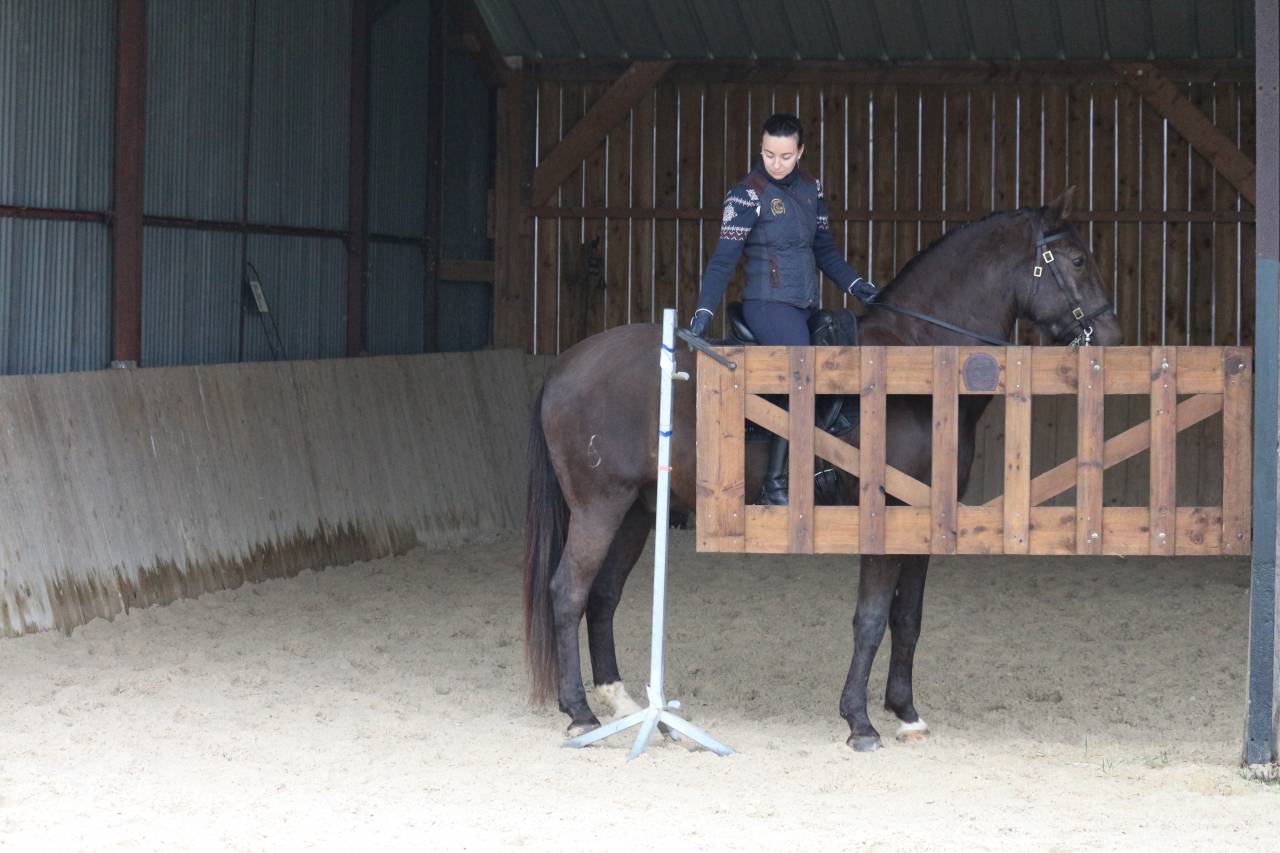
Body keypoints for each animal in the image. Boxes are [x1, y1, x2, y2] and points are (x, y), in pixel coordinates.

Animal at [523, 187, 1123, 750]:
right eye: (1076, 260)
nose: (1112, 341)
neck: (914, 365)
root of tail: (568, 364)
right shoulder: (883, 516)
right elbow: (871, 619)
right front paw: (859, 721)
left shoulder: (923, 520)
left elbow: (908, 618)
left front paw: (905, 712)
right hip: (600, 507)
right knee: (568, 593)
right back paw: (581, 713)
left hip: (636, 511)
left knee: (602, 596)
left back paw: (622, 704)